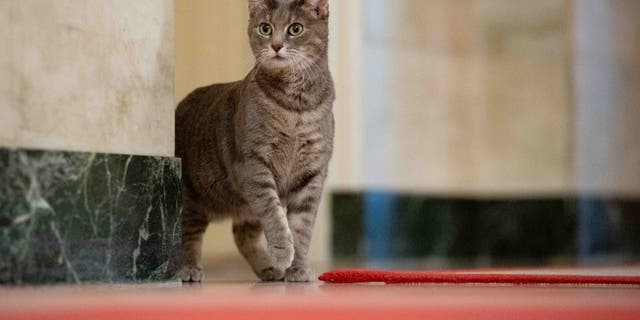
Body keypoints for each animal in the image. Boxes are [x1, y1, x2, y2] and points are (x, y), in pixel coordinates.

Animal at [175, 0, 336, 282]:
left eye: (295, 28)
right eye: (265, 28)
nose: (276, 45)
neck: (296, 108)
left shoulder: (312, 174)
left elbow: (301, 229)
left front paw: (298, 268)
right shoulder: (254, 166)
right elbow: (273, 213)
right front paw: (282, 251)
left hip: (245, 208)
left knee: (242, 235)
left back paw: (269, 269)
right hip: (192, 197)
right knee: (188, 234)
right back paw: (190, 268)